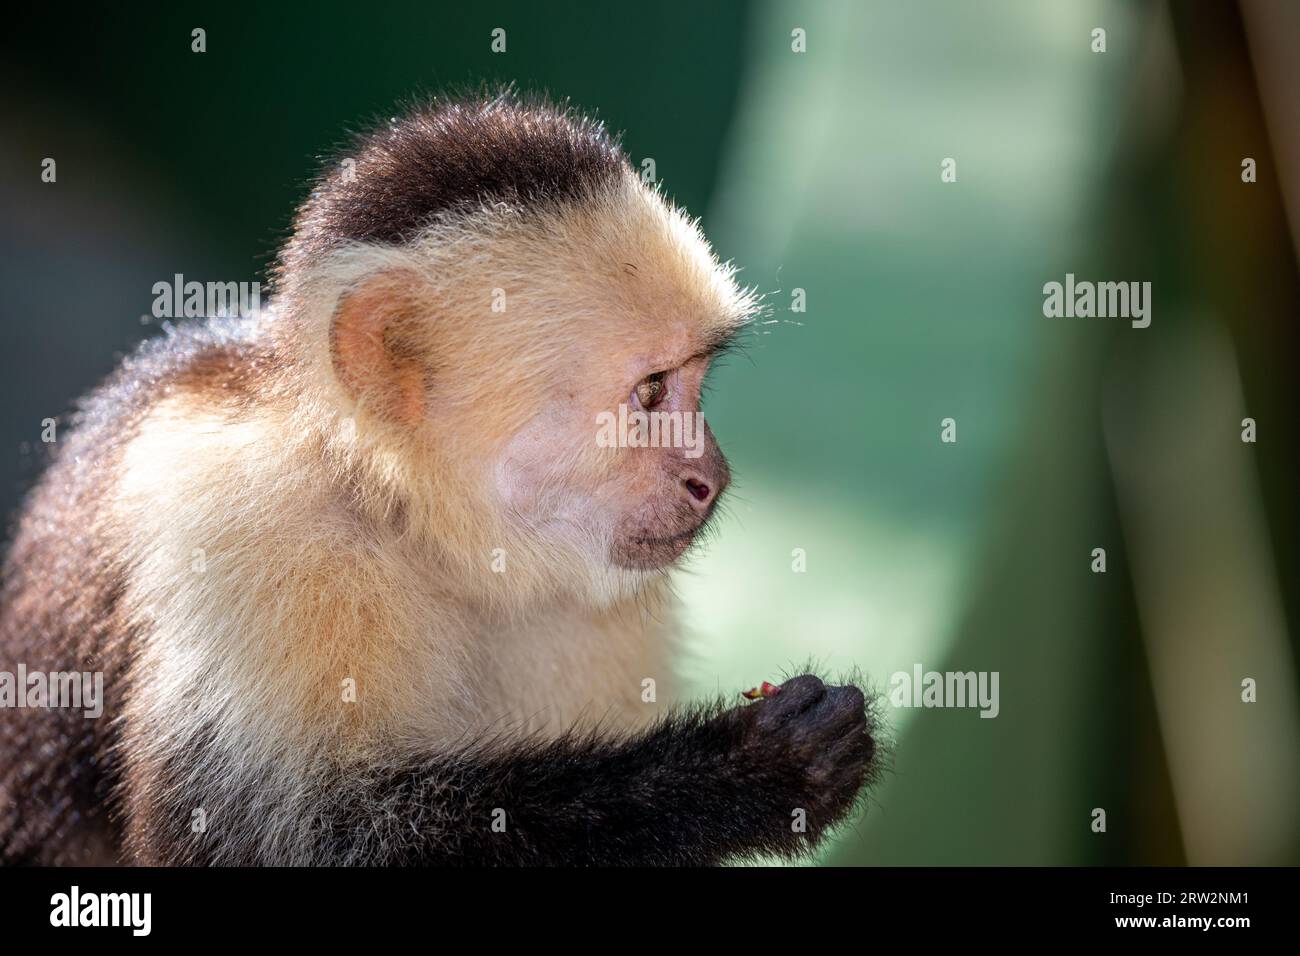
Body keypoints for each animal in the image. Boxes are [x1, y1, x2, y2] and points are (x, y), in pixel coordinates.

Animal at [0, 92, 877, 866]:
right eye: (654, 391)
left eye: (695, 381)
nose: (712, 477)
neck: (410, 525)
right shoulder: (245, 525)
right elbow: (276, 841)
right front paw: (744, 774)